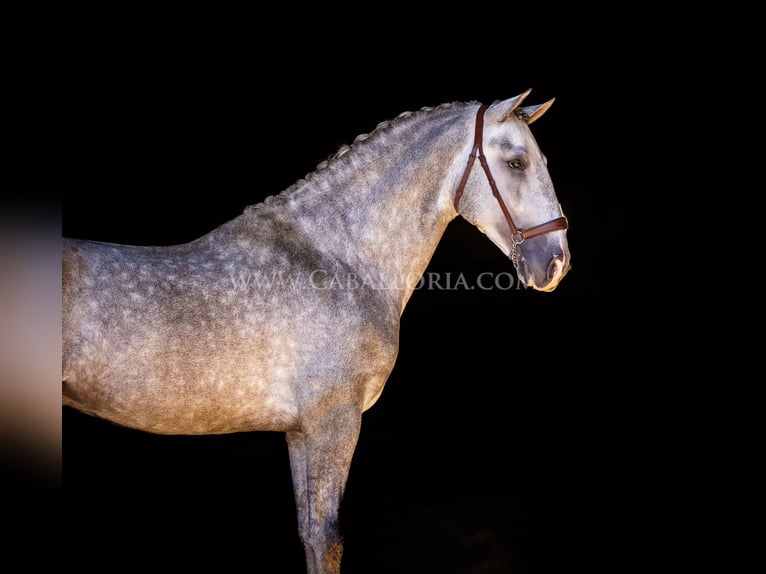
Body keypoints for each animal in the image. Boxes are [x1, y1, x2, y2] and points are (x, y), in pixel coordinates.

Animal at [61, 92, 568, 572]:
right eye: (517, 162)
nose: (557, 263)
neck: (336, 258)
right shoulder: (334, 420)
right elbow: (327, 537)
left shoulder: (299, 430)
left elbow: (309, 533)